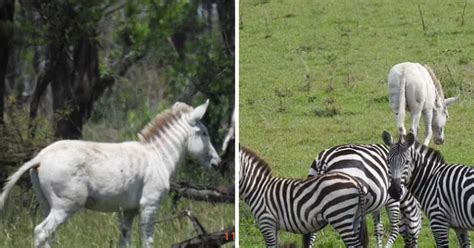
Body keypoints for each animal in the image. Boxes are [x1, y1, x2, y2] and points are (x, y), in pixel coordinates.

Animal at [241, 146, 370, 247]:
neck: (258, 187)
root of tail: (355, 182)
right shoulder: (273, 226)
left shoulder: (266, 222)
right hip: (354, 218)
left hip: (340, 217)